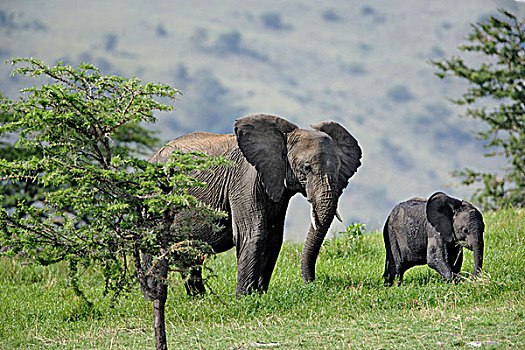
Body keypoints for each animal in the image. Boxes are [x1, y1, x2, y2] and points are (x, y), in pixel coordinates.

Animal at [147, 113, 360, 296]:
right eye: (306, 168)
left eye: (339, 168)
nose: (312, 284)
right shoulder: (244, 179)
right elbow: (253, 233)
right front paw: (243, 298)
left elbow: (273, 237)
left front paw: (259, 294)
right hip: (156, 195)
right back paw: (153, 295)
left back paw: (198, 298)